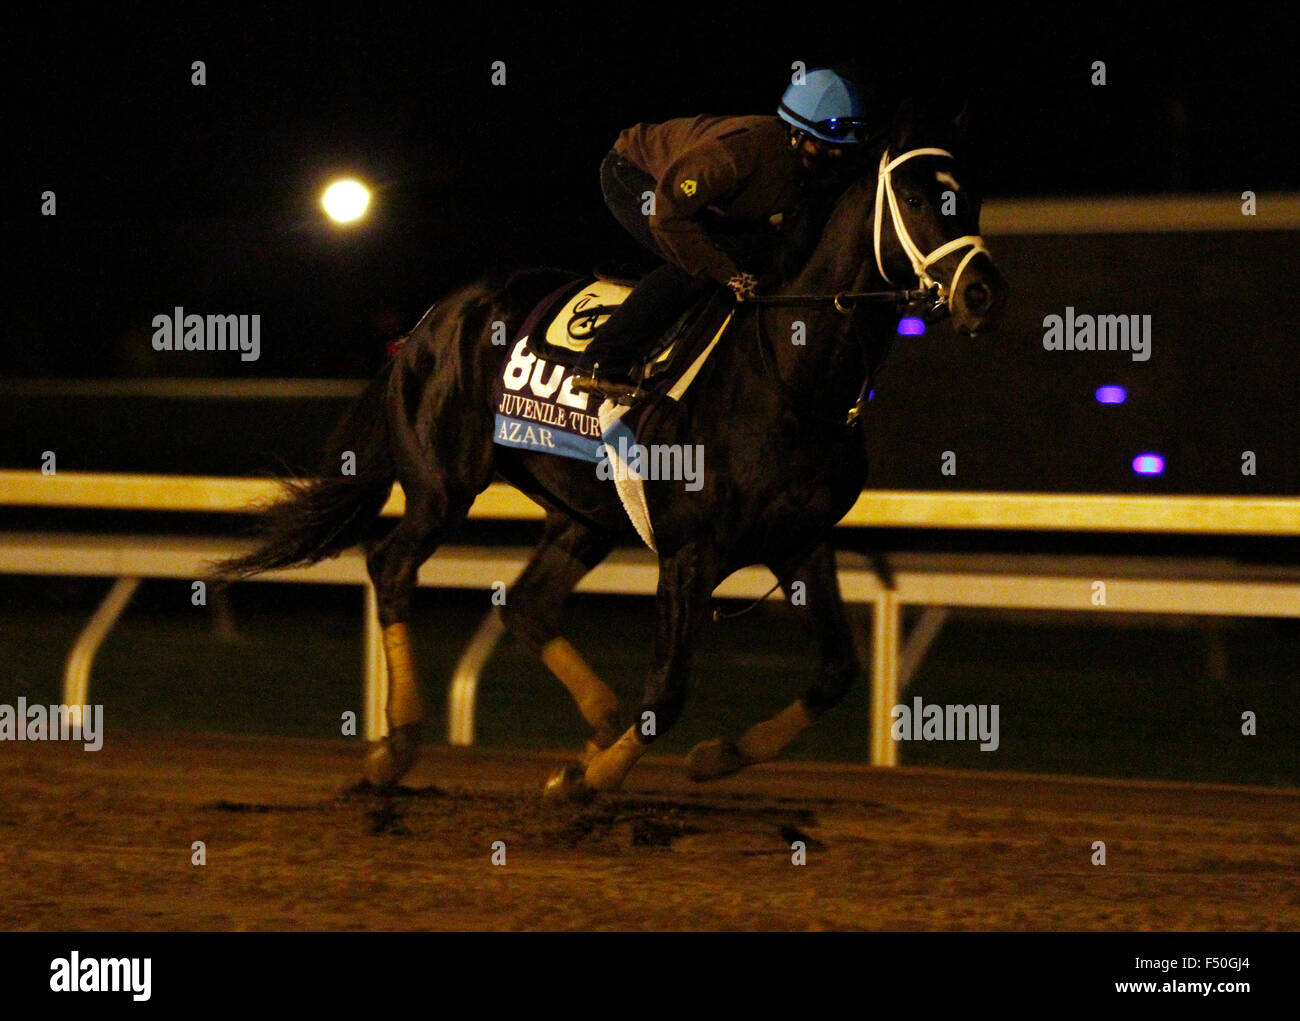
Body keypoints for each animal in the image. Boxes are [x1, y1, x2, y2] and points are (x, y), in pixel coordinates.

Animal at [210, 103, 1003, 801]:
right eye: (914, 196)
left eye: (971, 197)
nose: (981, 294)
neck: (790, 372)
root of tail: (434, 317)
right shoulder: (691, 551)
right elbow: (670, 688)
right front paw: (596, 780)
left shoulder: (801, 543)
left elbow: (838, 670)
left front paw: (710, 757)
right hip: (443, 483)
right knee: (393, 566)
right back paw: (399, 746)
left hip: (582, 513)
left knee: (528, 604)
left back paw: (592, 731)